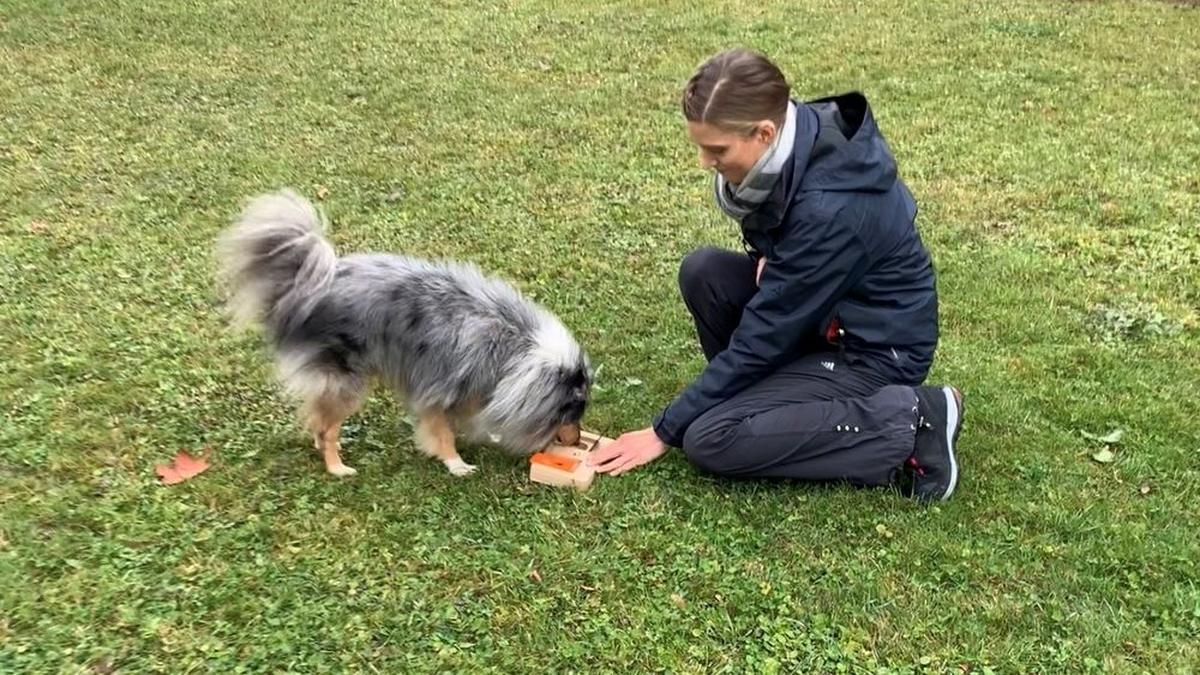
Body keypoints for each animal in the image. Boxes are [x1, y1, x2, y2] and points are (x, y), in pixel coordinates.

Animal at [218, 186, 592, 475]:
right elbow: (442, 432)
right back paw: (337, 467)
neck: (513, 346)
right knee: (328, 427)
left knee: (317, 416)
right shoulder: (437, 390)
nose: (577, 440)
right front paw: (456, 464)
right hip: (345, 379)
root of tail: (304, 285)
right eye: (570, 412)